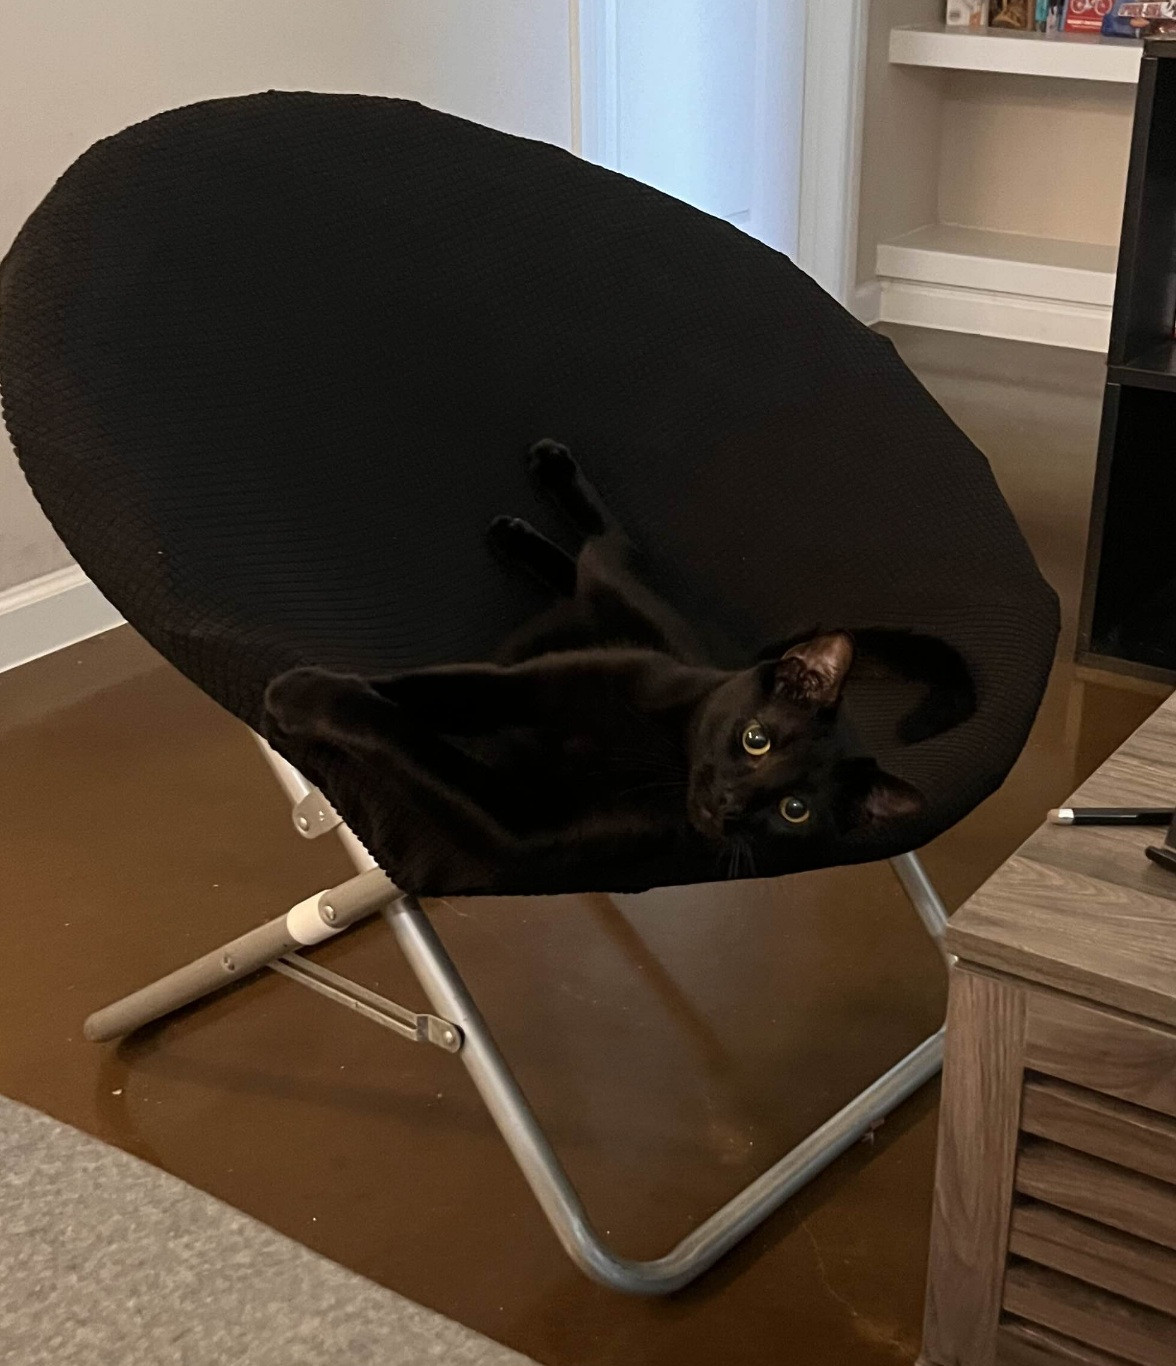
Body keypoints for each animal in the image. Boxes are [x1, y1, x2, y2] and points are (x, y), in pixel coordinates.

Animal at [266, 439, 972, 896]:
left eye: (794, 810)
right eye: (757, 739)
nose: (731, 803)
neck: (662, 749)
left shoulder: (512, 823)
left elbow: (408, 737)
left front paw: (299, 697)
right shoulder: (522, 687)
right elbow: (420, 693)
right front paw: (305, 688)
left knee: (583, 566)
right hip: (621, 586)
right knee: (603, 544)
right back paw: (539, 487)